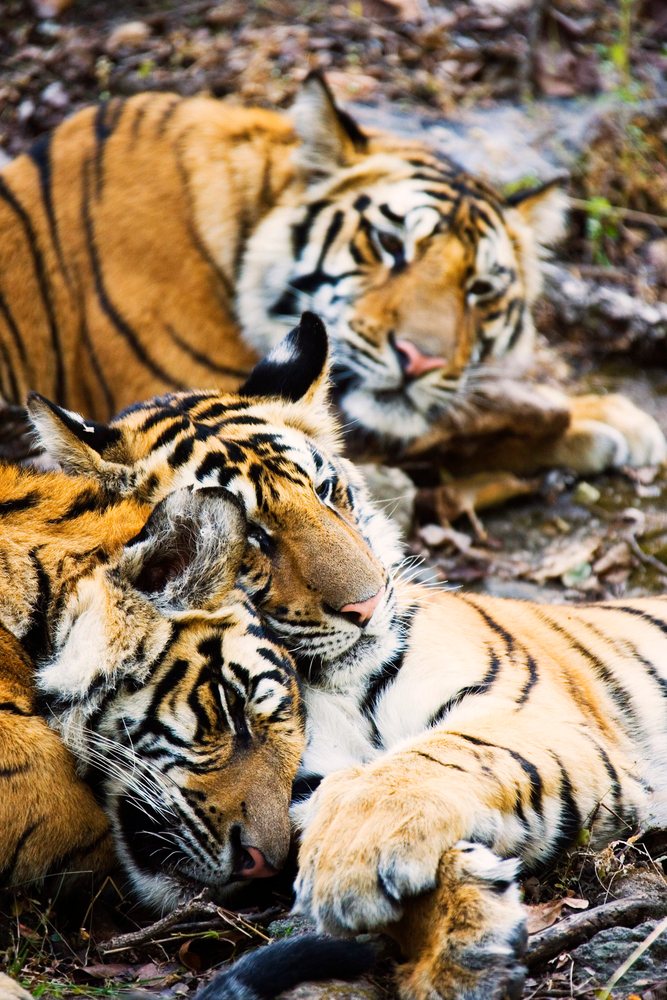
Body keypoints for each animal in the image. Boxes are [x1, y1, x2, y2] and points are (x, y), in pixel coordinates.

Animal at [34, 315, 667, 1000]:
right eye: (251, 533)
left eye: (328, 491)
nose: (369, 605)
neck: (335, 689)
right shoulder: (294, 787)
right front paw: (461, 941)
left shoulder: (537, 712)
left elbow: (439, 755)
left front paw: (359, 859)